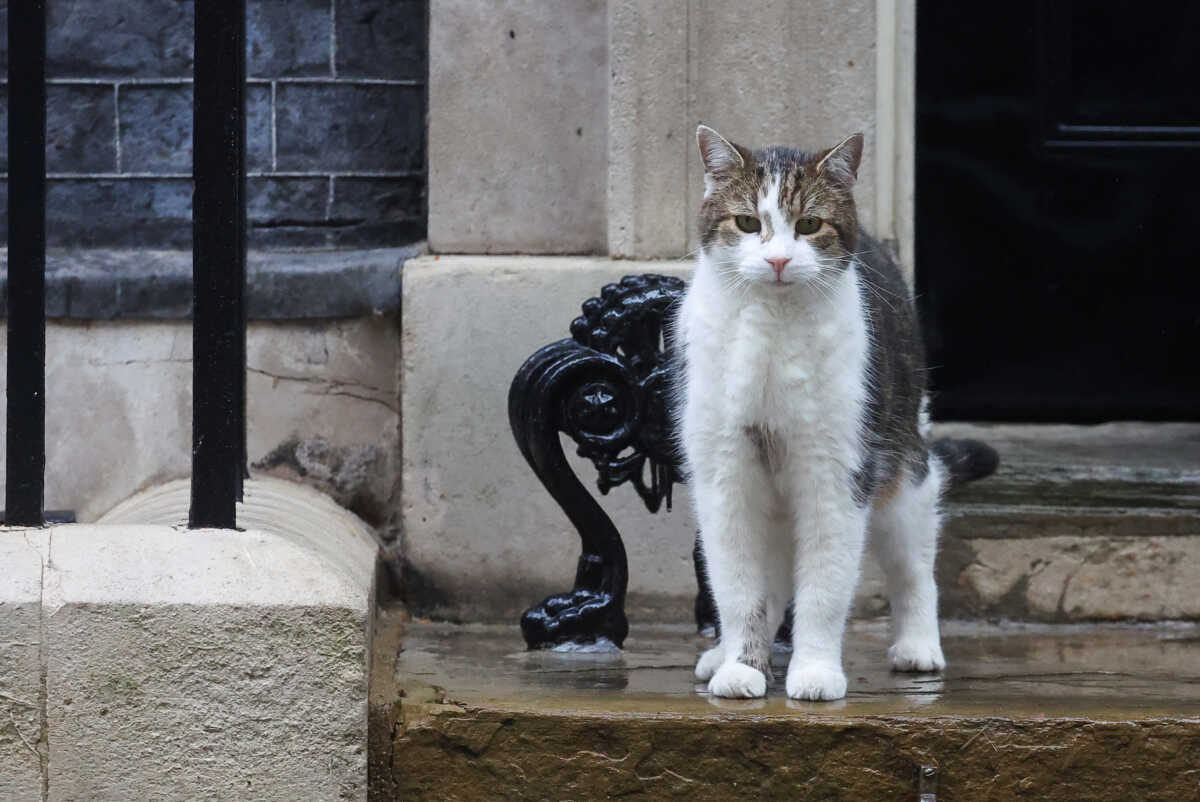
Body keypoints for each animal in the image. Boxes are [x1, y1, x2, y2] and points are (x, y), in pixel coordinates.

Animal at [676, 125, 993, 701]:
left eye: (809, 225)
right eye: (748, 222)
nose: (779, 261)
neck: (772, 329)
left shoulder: (837, 474)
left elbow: (824, 588)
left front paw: (815, 671)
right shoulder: (726, 476)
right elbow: (739, 590)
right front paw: (743, 666)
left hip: (904, 472)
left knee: (914, 569)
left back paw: (918, 647)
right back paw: (719, 657)